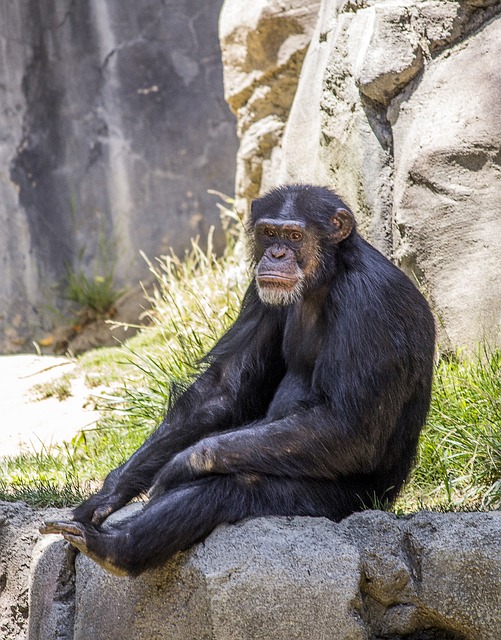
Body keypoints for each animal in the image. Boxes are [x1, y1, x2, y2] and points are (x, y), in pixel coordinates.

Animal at [41, 184, 436, 576]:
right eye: (269, 233)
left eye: (295, 236)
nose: (276, 253)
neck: (326, 277)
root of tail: (385, 501)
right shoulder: (262, 296)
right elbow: (224, 388)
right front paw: (106, 495)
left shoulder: (368, 304)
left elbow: (350, 426)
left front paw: (184, 463)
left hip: (348, 500)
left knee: (235, 484)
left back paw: (115, 548)